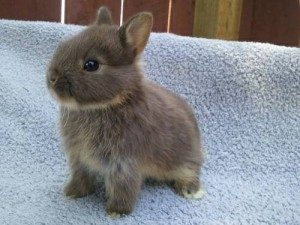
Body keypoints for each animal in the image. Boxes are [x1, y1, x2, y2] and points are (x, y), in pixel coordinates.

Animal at [46, 6, 204, 216]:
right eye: (64, 47)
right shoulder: (79, 158)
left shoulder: (123, 164)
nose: (52, 78)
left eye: (91, 64)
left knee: (191, 170)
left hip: (185, 159)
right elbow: (81, 177)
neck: (106, 105)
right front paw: (72, 192)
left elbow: (123, 188)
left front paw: (116, 212)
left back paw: (191, 191)